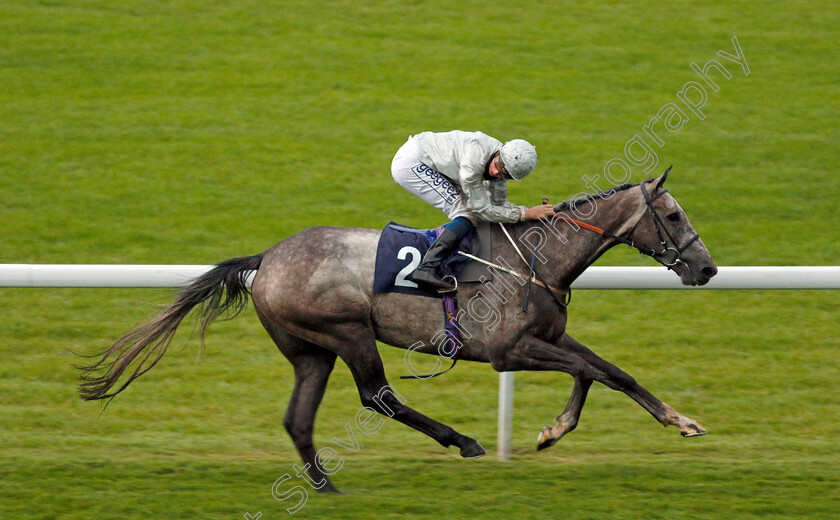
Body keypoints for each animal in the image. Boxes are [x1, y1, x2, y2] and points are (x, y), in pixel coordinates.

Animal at [80, 168, 716, 492]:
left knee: (298, 418)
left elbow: (615, 372)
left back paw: (325, 486)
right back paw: (461, 441)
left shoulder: (549, 337)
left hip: (311, 351)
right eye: (674, 215)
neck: (539, 256)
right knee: (377, 395)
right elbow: (587, 373)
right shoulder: (509, 350)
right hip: (348, 333)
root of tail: (267, 258)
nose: (707, 269)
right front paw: (552, 431)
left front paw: (682, 421)